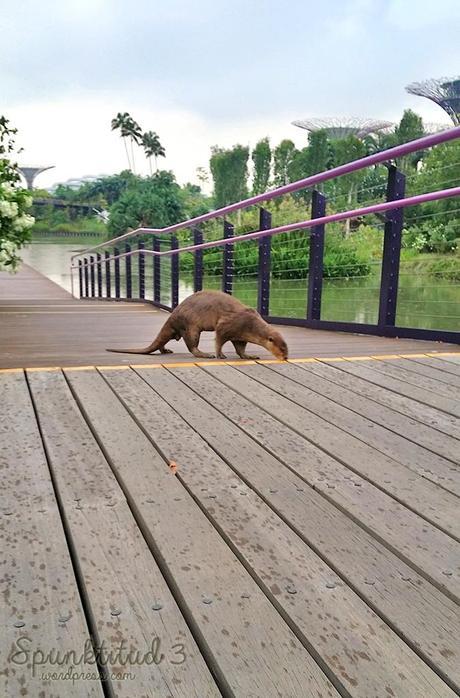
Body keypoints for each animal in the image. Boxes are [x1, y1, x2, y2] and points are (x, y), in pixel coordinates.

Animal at [107, 290, 288, 360]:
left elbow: (240, 348)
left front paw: (249, 356)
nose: (285, 357)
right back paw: (205, 354)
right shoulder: (227, 325)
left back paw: (165, 350)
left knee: (164, 340)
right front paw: (219, 355)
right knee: (192, 346)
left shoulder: (240, 335)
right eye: (281, 349)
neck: (250, 324)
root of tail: (173, 315)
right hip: (191, 327)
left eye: (286, 349)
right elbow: (219, 340)